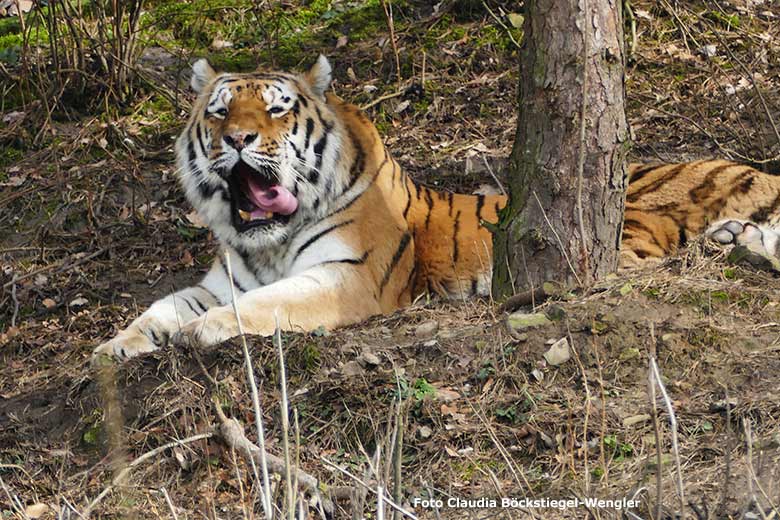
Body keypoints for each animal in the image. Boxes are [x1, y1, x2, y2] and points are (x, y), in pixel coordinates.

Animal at [94, 54, 780, 360]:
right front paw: (114, 348)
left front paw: (201, 331)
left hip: (634, 224)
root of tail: (753, 168)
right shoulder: (221, 279)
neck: (267, 239)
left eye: (276, 109)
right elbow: (160, 306)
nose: (236, 139)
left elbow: (266, 304)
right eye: (218, 112)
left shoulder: (348, 277)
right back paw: (738, 241)